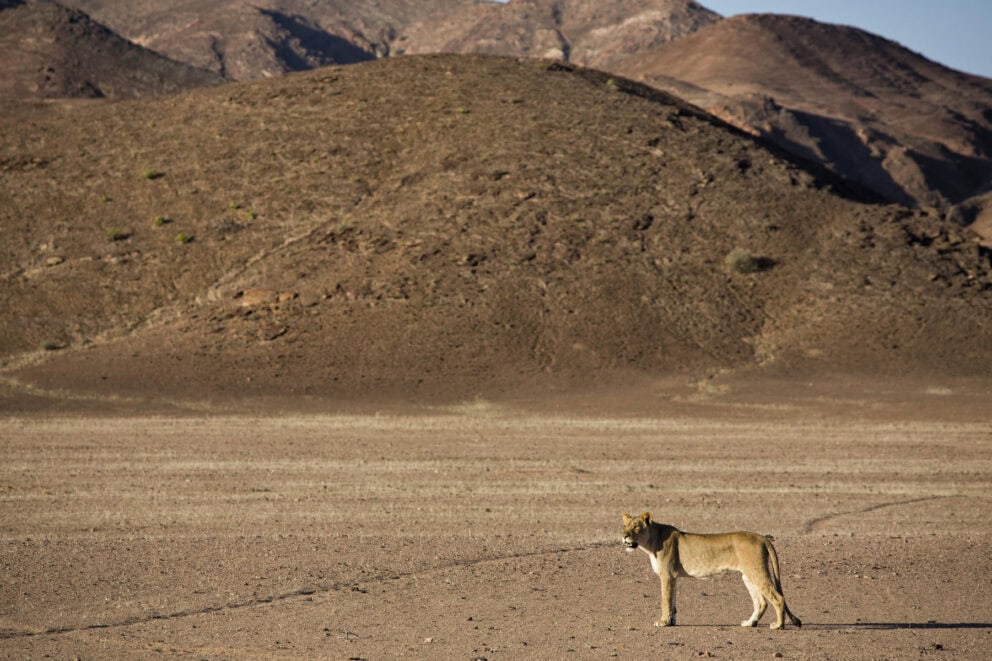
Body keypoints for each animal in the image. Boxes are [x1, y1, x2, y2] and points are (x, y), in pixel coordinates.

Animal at [621, 512, 802, 629]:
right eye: (624, 526)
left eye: (636, 527)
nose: (624, 536)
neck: (651, 542)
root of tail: (762, 537)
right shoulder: (673, 577)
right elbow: (672, 601)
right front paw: (671, 621)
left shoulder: (666, 575)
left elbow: (665, 600)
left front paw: (663, 622)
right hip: (747, 575)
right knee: (761, 602)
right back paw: (750, 623)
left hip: (756, 571)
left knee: (778, 598)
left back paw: (778, 625)